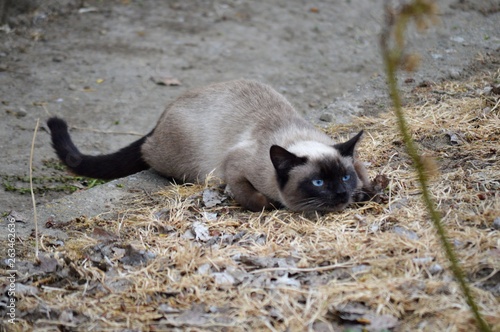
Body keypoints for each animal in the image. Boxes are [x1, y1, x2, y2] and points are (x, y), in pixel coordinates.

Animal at [47, 79, 376, 211]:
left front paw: (366, 191)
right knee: (146, 151)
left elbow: (365, 173)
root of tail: (165, 111)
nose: (341, 194)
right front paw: (268, 204)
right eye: (318, 182)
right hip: (182, 163)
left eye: (344, 177)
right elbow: (253, 198)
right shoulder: (235, 167)